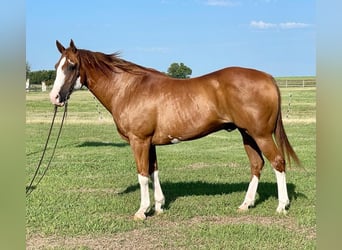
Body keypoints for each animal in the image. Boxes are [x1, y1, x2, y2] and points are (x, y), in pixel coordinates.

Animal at [48, 39, 300, 219]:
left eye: (71, 66)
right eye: (56, 66)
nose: (55, 97)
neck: (129, 89)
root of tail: (268, 77)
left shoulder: (139, 141)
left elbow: (142, 175)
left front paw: (142, 211)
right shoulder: (149, 142)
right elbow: (154, 172)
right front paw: (158, 206)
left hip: (261, 135)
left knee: (278, 162)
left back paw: (281, 206)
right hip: (247, 134)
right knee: (257, 164)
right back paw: (246, 204)